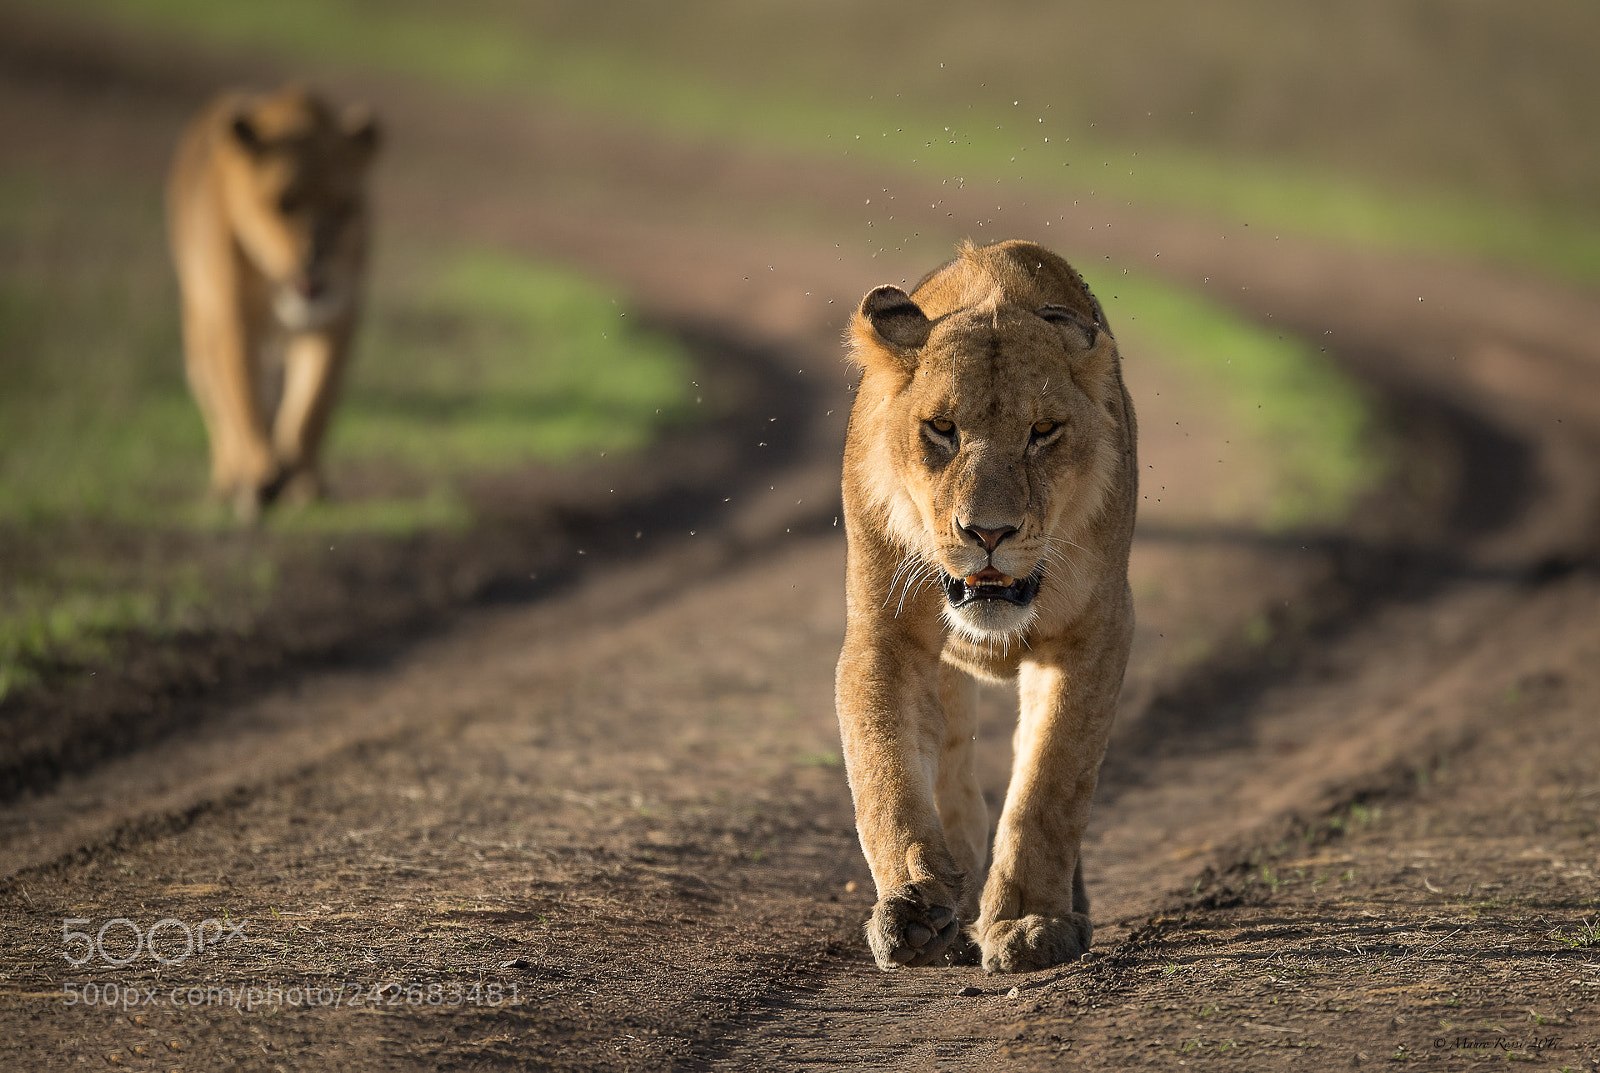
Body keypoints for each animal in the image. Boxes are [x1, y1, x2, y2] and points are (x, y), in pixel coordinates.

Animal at [166, 85, 380, 520]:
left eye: (345, 207)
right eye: (285, 202)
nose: (320, 255)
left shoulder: (338, 319)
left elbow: (313, 405)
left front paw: (303, 481)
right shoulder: (232, 321)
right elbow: (241, 396)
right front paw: (260, 477)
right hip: (197, 326)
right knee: (218, 401)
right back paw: (232, 479)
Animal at [836, 239, 1137, 973]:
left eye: (1043, 430)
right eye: (942, 428)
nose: (989, 532)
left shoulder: (1096, 634)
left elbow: (1049, 785)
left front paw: (1029, 921)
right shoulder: (884, 635)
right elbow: (882, 763)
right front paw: (912, 905)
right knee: (950, 760)